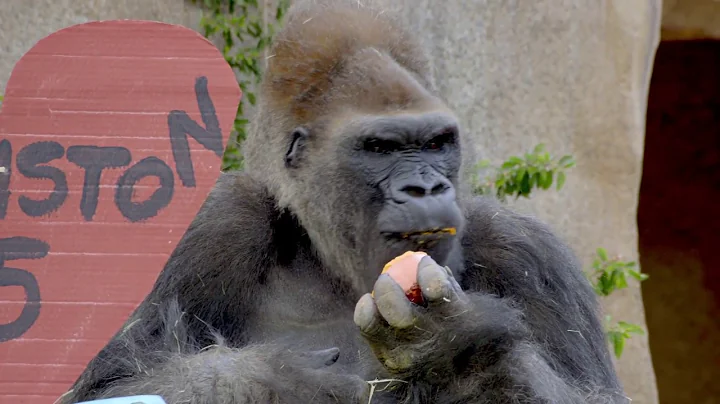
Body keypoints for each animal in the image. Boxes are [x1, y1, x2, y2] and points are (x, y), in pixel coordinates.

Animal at [60, 1, 625, 403]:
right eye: (380, 148)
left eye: (437, 143)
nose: (425, 189)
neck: (328, 259)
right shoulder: (215, 222)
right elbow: (114, 384)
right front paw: (277, 380)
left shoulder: (527, 249)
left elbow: (595, 396)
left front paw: (449, 347)